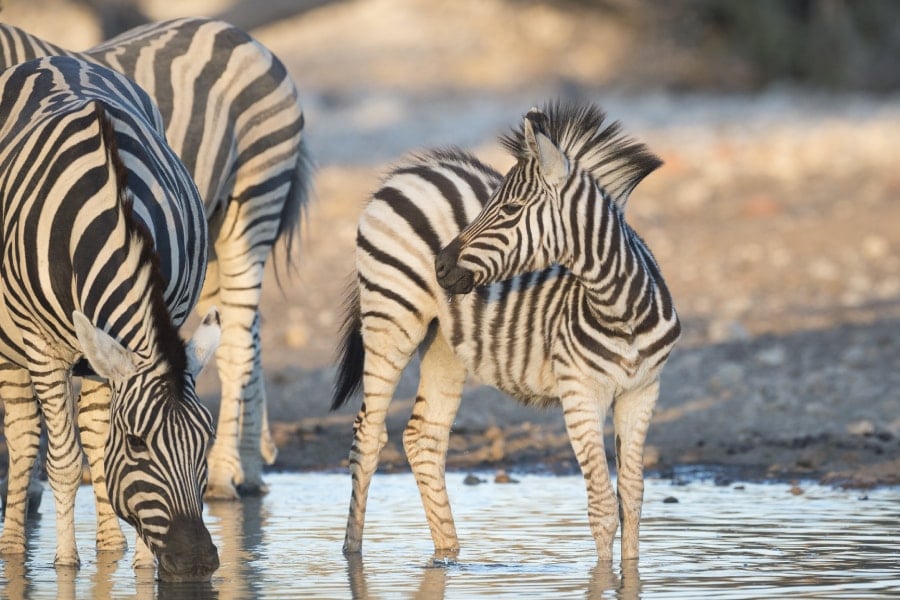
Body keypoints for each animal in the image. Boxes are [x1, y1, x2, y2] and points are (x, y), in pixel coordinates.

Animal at [0, 16, 316, 504]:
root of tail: (238, 33)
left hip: (255, 202)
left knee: (238, 343)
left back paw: (223, 475)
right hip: (210, 237)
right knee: (246, 332)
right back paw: (248, 467)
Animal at [0, 56, 220, 580]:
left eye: (206, 441)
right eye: (138, 443)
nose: (197, 562)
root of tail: (53, 59)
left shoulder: (159, 320)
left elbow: (101, 448)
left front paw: (141, 566)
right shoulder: (42, 347)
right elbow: (62, 460)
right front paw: (64, 563)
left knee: (97, 434)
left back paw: (110, 546)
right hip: (12, 346)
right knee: (22, 439)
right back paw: (13, 549)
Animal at [334, 101, 680, 560]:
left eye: (510, 209)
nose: (440, 266)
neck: (621, 311)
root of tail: (408, 171)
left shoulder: (643, 392)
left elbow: (633, 497)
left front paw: (631, 569)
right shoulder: (580, 393)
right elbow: (604, 506)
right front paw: (604, 572)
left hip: (444, 343)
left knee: (424, 437)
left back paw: (448, 554)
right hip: (390, 315)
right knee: (369, 434)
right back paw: (352, 552)